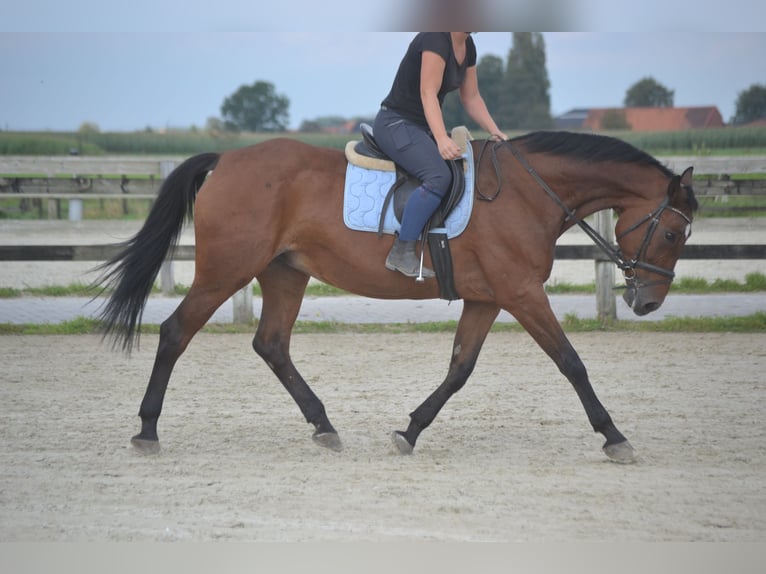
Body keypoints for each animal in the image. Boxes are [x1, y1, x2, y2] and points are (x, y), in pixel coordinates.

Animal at [93, 129, 700, 464]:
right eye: (673, 233)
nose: (648, 302)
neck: (529, 192)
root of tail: (227, 159)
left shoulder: (489, 299)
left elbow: (459, 368)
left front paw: (409, 431)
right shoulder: (522, 293)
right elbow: (571, 362)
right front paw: (614, 436)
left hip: (285, 274)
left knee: (272, 345)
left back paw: (324, 425)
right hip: (226, 271)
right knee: (176, 332)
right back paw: (147, 429)